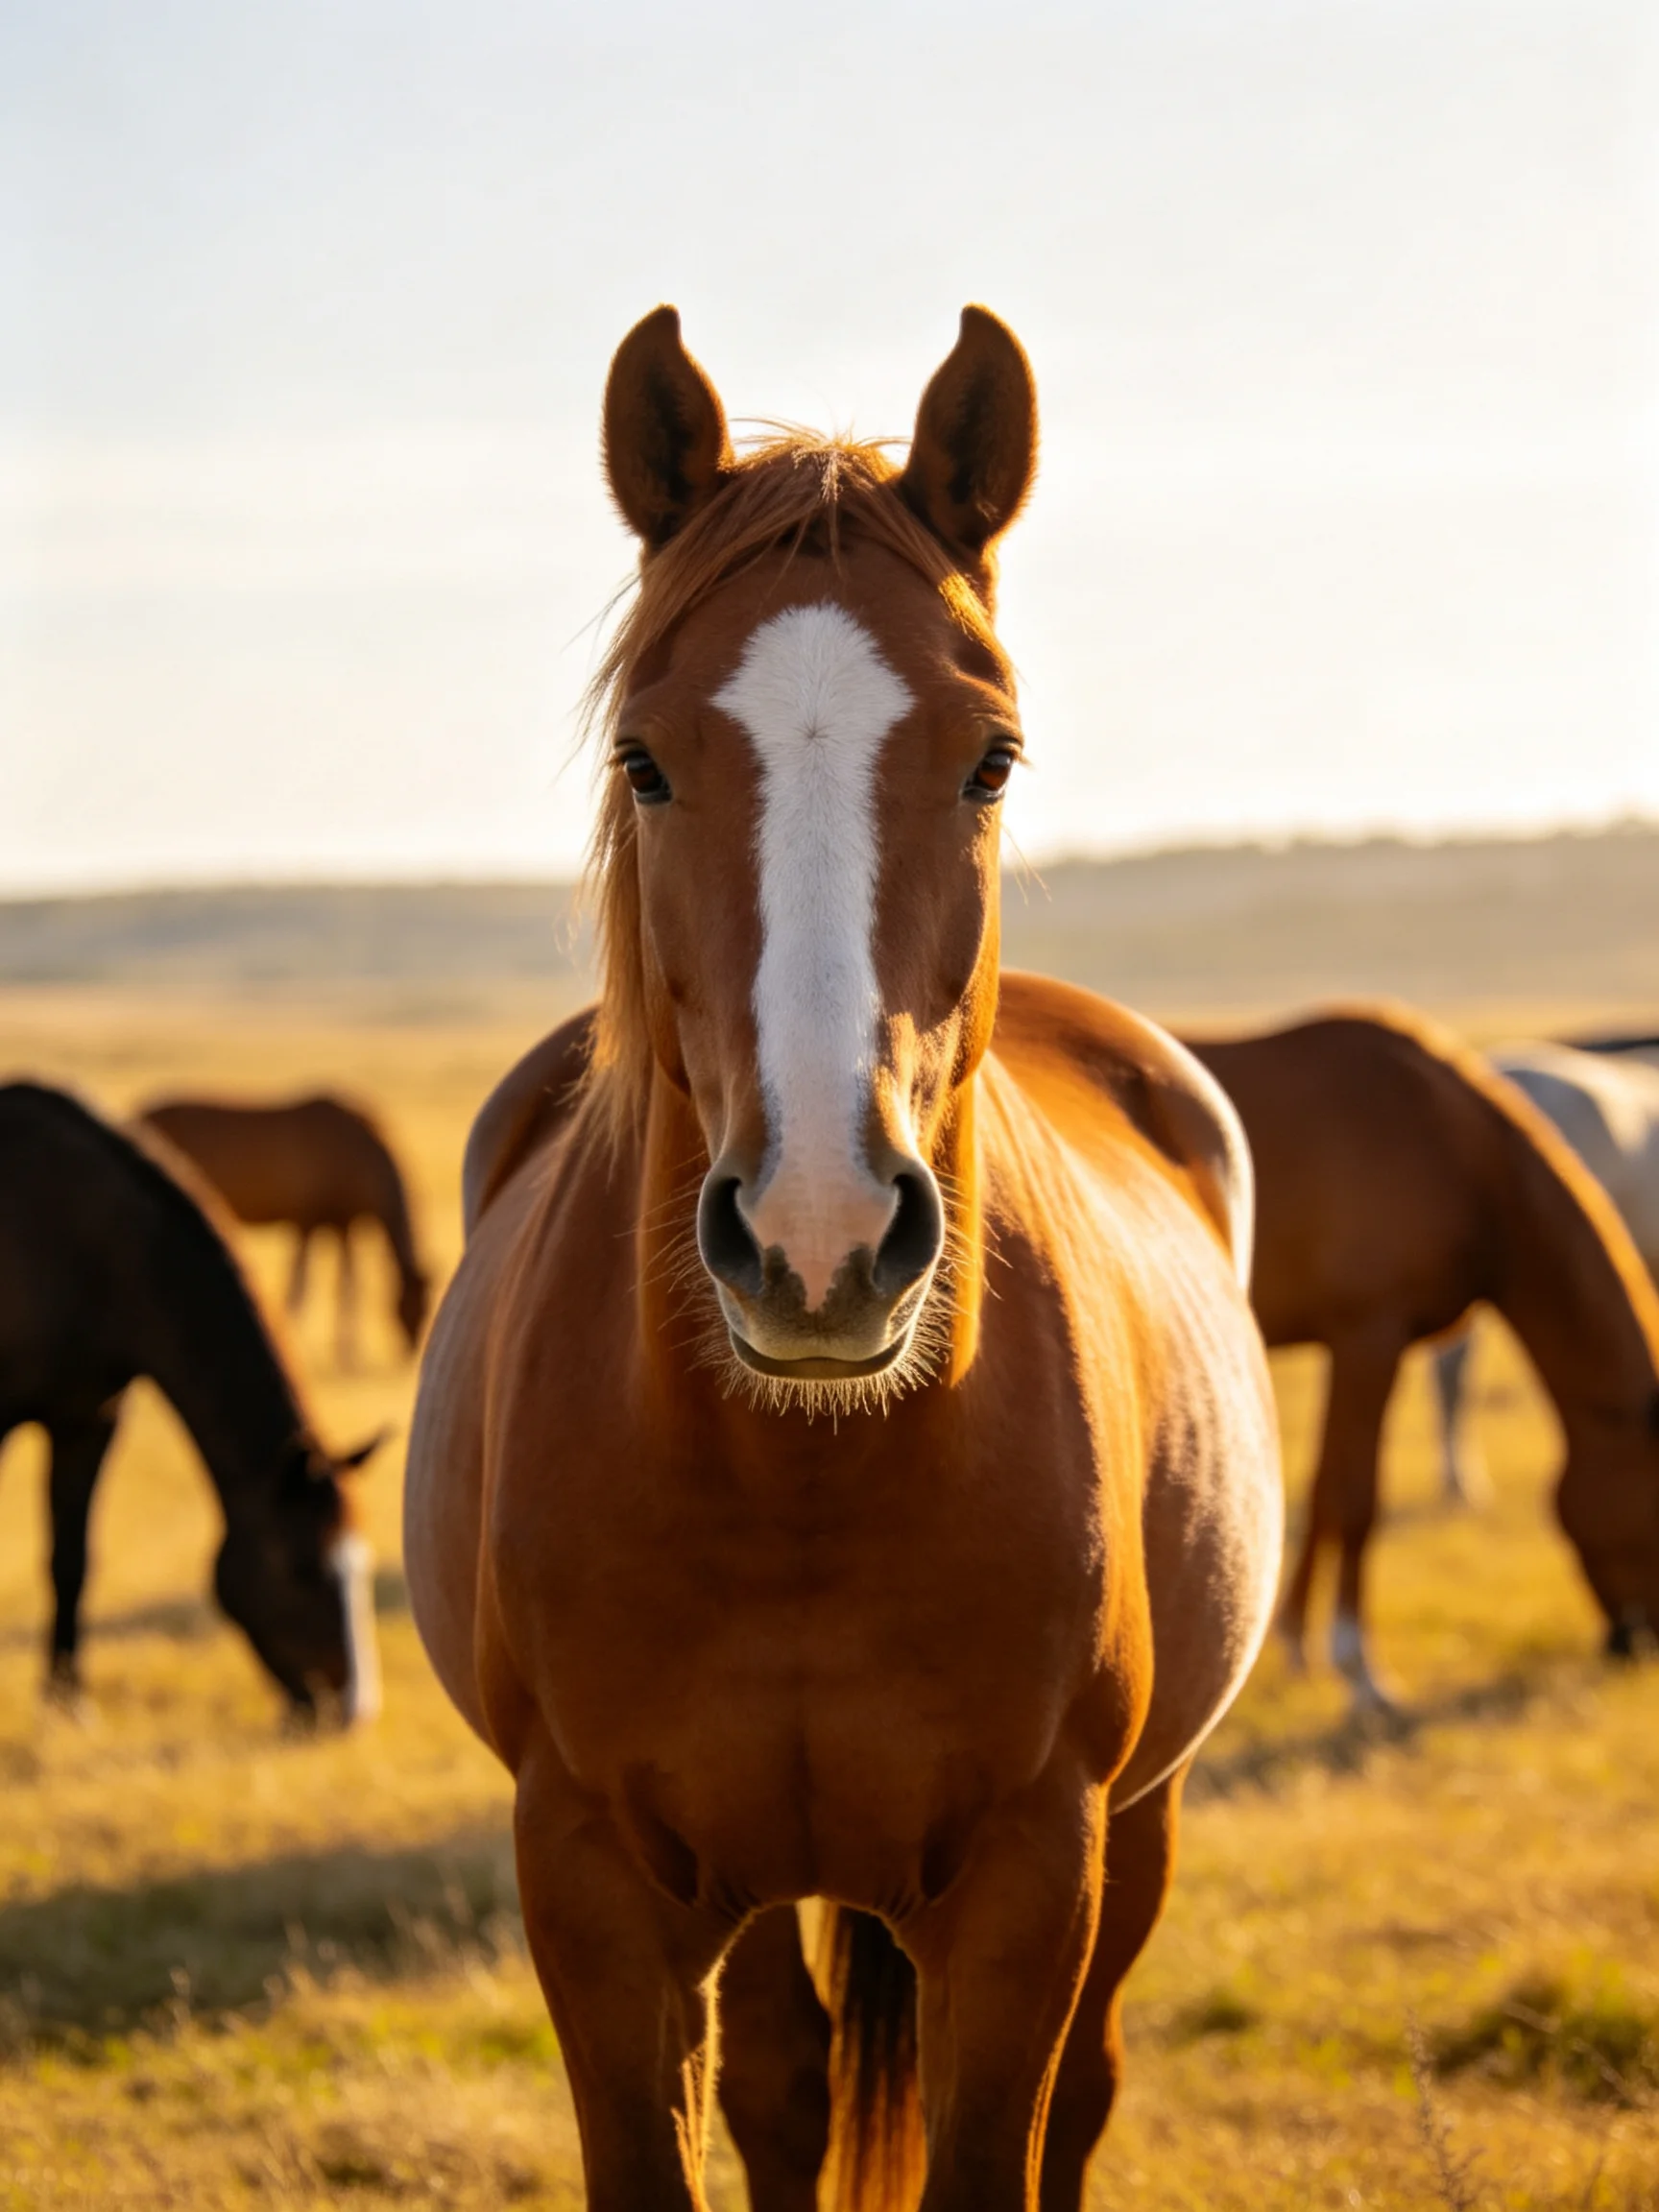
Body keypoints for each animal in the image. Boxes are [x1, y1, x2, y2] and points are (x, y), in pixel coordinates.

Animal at [0, 1081, 383, 1721]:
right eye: (301, 1568)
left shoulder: (89, 1419)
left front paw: (67, 1700)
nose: (351, 1709)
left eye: (360, 1562)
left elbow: (71, 1560)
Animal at [138, 1094, 430, 1367]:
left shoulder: (341, 1225)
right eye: (412, 1303)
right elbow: (300, 1287)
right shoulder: (306, 1222)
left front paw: (347, 1355)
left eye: (427, 1304)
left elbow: (347, 1286)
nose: (412, 1350)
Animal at [405, 304, 1283, 2212]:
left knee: (1083, 2090)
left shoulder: (1034, 1879)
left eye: (989, 756)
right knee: (787, 2085)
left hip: (1138, 1829)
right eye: (644, 757)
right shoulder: (592, 1888)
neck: (794, 1482)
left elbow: (1004, 2136)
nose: (819, 1241)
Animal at [1186, 1008, 1659, 1709]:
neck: (1456, 1155)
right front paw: (1361, 1672)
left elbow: (1325, 1488)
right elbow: (1357, 1499)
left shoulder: (1352, 1345)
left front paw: (1300, 1645)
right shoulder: (1370, 1336)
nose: (1635, 1647)